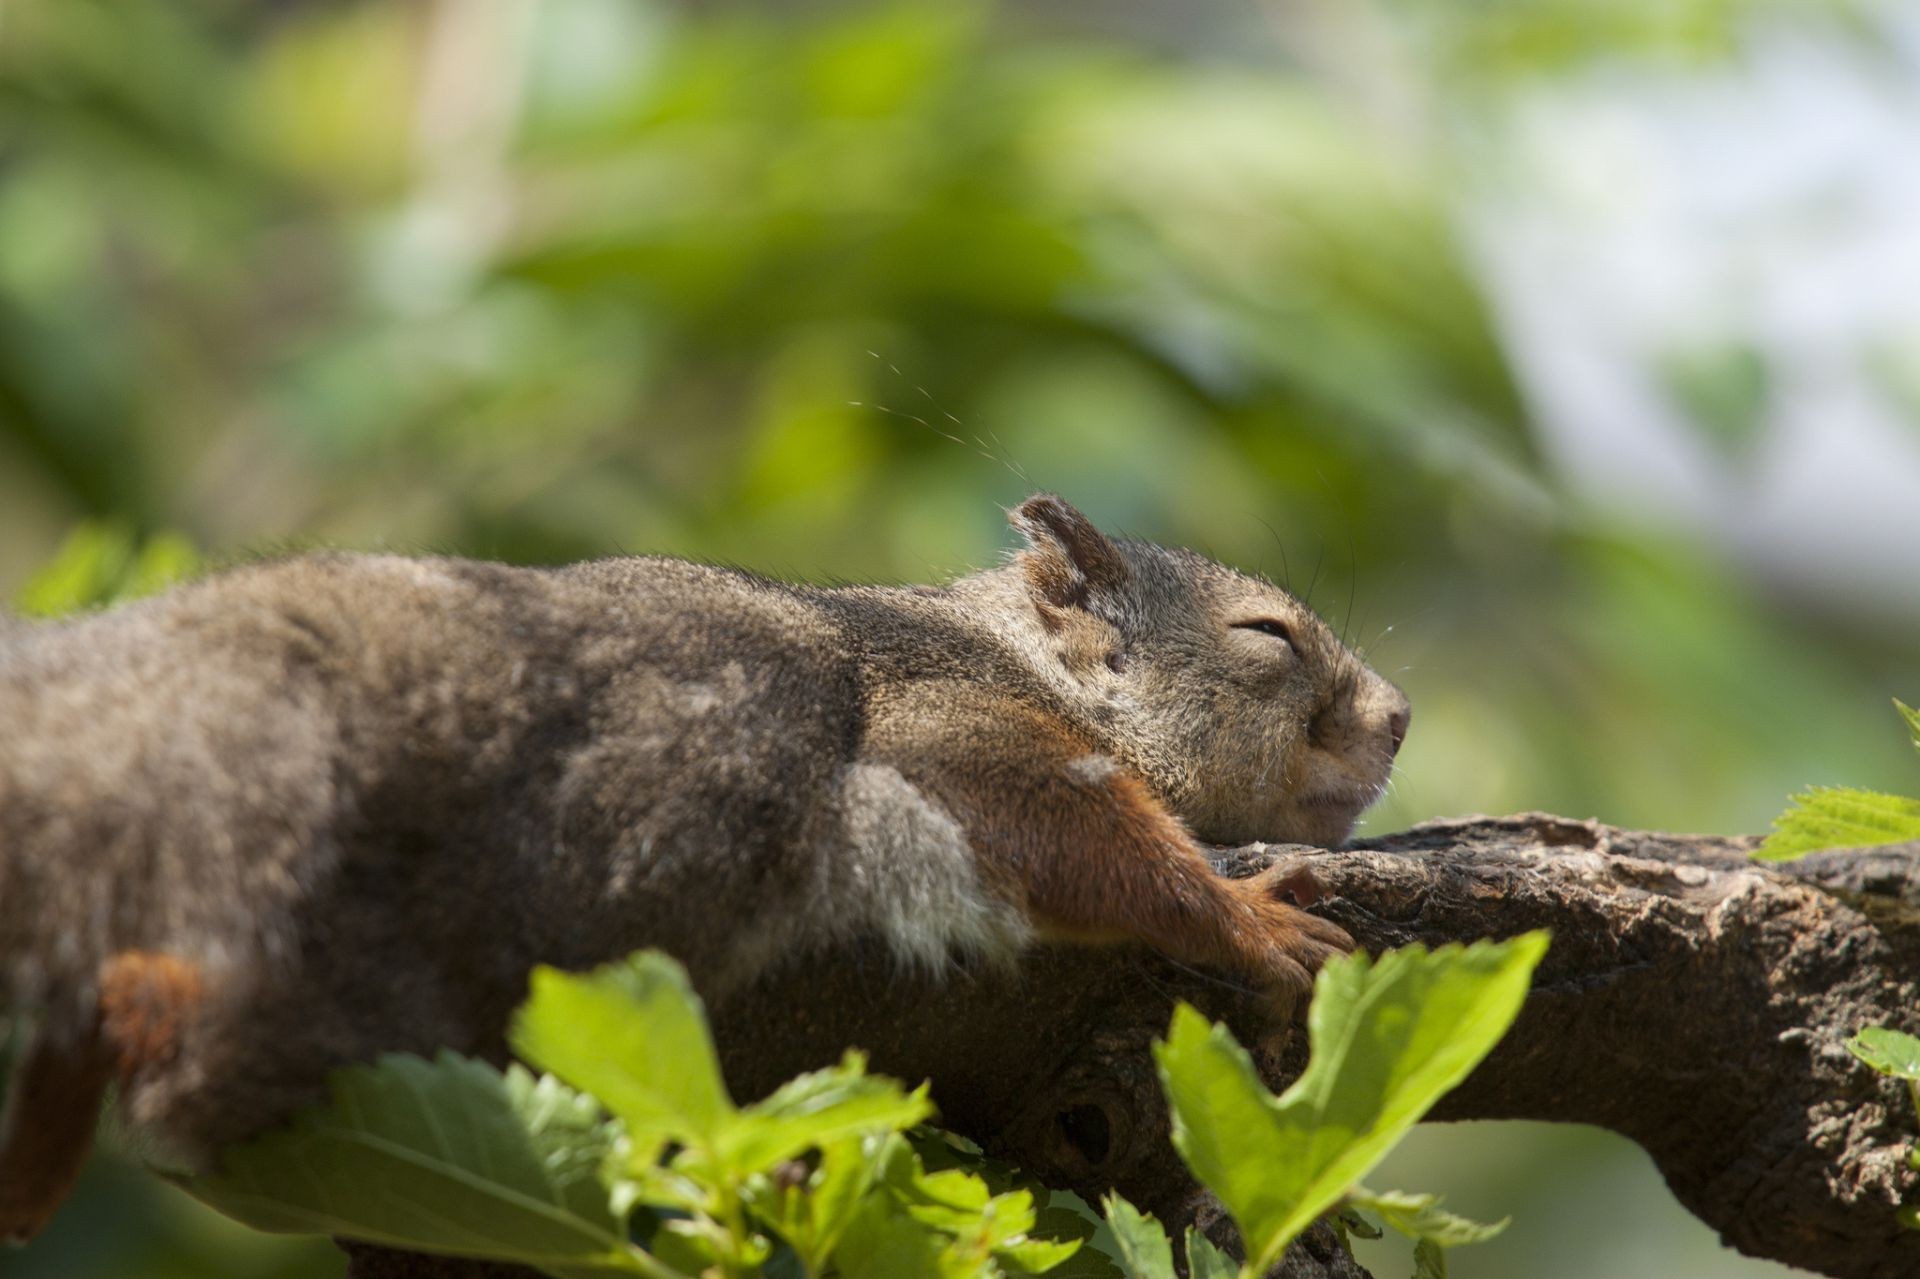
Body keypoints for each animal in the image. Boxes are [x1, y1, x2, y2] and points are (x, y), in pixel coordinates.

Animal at [0, 491, 1413, 1236]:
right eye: (1268, 637)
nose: (1401, 716)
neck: (1012, 655)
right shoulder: (949, 724)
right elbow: (1077, 834)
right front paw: (1247, 916)